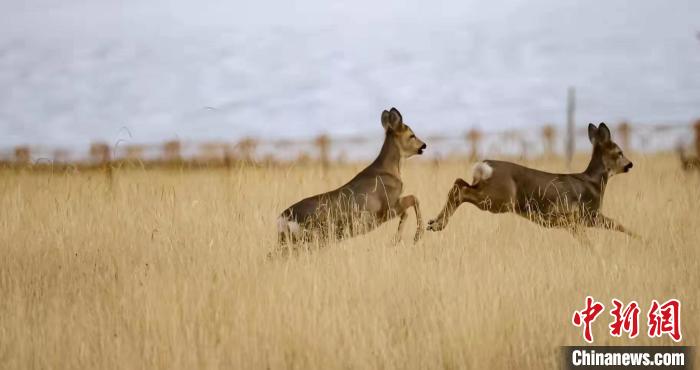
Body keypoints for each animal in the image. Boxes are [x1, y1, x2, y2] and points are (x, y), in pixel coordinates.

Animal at [276, 107, 424, 246]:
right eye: (412, 135)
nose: (423, 145)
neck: (389, 170)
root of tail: (282, 218)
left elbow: (408, 209)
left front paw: (398, 239)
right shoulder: (387, 207)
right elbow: (413, 200)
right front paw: (415, 236)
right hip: (310, 236)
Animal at [426, 123, 640, 240]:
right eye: (619, 152)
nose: (630, 164)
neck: (594, 183)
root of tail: (485, 165)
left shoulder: (574, 222)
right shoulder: (587, 214)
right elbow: (618, 225)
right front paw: (641, 239)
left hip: (492, 195)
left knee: (459, 182)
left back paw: (434, 223)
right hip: (499, 200)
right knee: (461, 189)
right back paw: (437, 224)